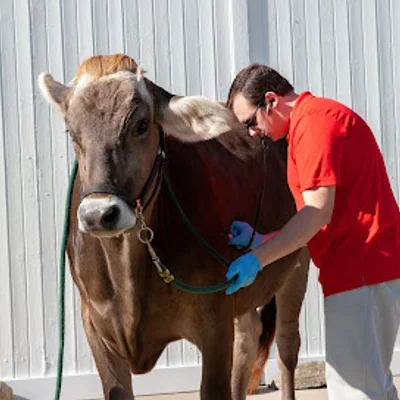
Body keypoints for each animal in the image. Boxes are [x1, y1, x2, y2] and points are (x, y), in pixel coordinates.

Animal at [38, 54, 309, 400]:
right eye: (72, 133)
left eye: (141, 125)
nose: (99, 214)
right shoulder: (96, 326)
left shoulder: (214, 320)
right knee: (248, 337)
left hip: (297, 261)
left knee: (287, 344)